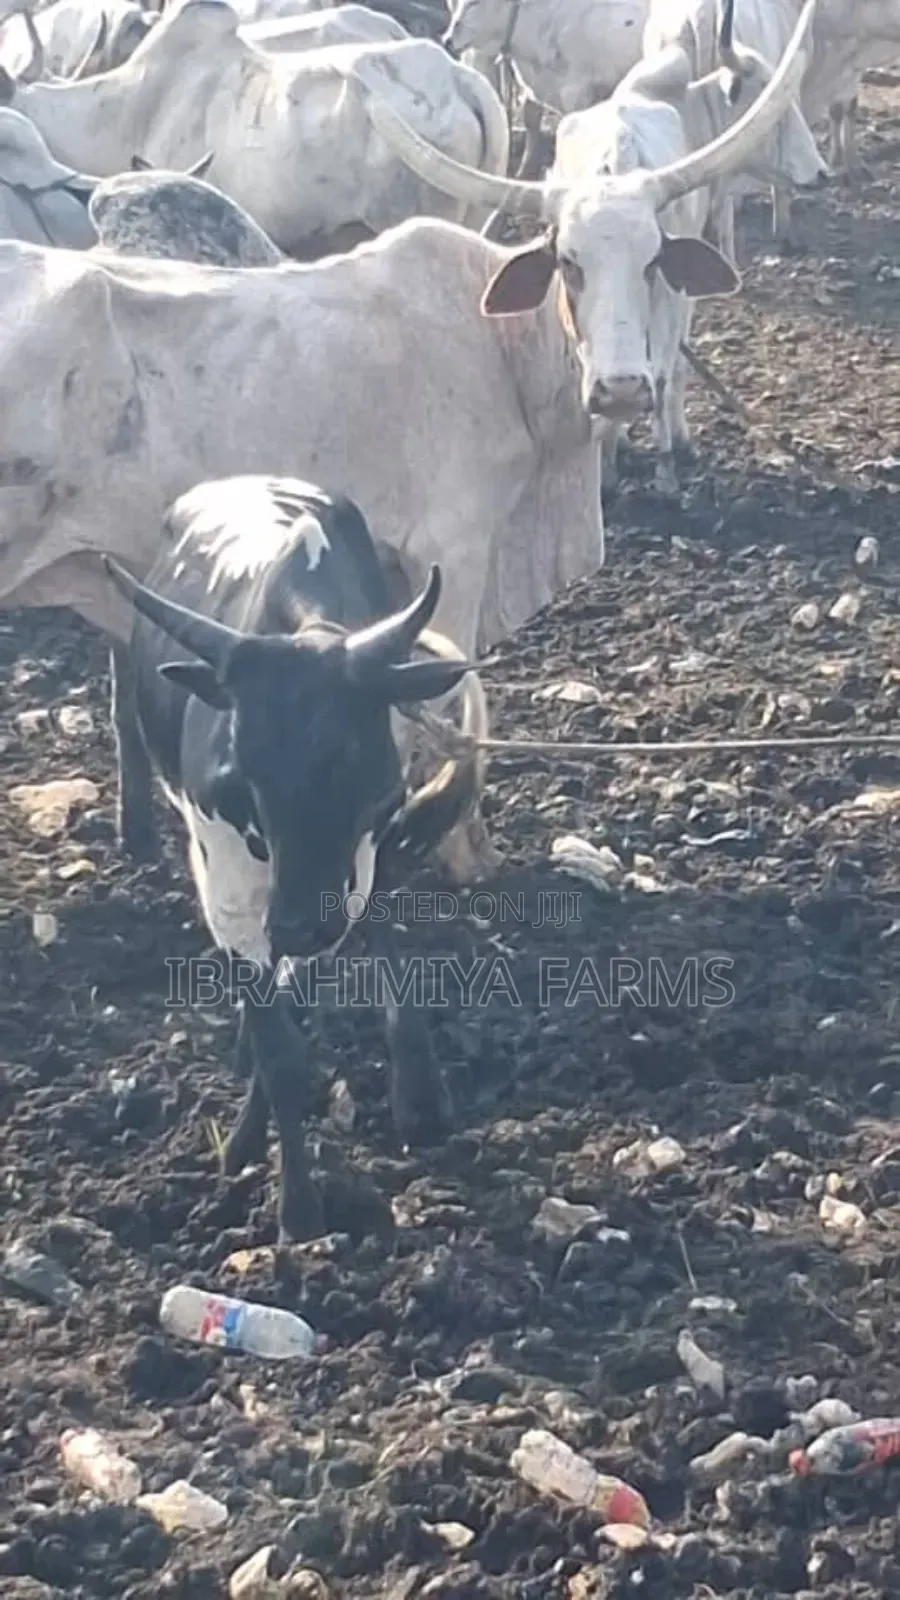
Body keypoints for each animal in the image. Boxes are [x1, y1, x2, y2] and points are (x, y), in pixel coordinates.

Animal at [105, 478, 481, 1240]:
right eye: (242, 770)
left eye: (365, 775)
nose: (303, 925)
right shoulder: (230, 888)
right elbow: (281, 1049)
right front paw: (295, 1207)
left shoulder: (353, 869)